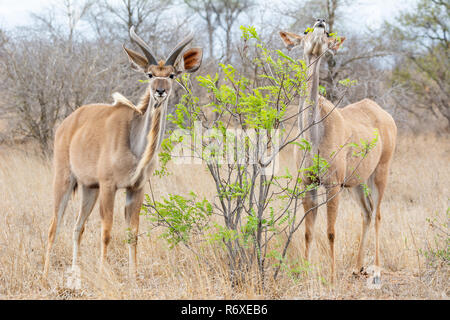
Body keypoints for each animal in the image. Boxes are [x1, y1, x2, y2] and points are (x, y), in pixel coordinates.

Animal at [43, 26, 202, 278]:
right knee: (54, 226)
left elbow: (132, 234)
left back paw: (75, 272)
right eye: (149, 74)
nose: (159, 92)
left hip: (89, 189)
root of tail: (66, 124)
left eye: (171, 75)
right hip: (65, 180)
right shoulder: (109, 186)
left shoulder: (136, 188)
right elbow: (106, 232)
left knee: (78, 227)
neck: (135, 145)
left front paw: (133, 277)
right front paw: (102, 274)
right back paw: (45, 275)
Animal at [280, 19, 396, 280]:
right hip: (357, 182)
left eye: (327, 34)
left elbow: (331, 231)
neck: (314, 134)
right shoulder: (308, 184)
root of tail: (386, 116)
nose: (321, 22)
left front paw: (332, 278)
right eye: (305, 31)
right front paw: (305, 274)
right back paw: (357, 267)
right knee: (367, 212)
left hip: (380, 172)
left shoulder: (333, 184)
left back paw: (376, 268)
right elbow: (308, 231)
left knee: (378, 214)